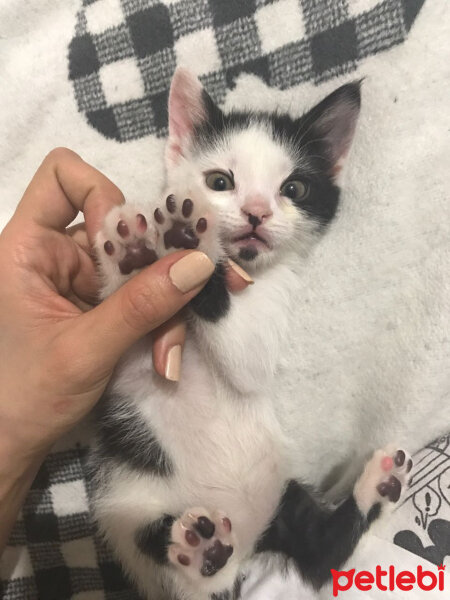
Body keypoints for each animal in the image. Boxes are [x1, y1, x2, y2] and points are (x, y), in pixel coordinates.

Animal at [90, 67, 412, 600]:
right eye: (220, 182)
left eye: (294, 189)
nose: (257, 212)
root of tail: (246, 547)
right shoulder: (127, 359)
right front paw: (136, 249)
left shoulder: (265, 323)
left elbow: (246, 362)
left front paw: (185, 242)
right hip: (131, 513)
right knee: (167, 554)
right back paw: (205, 550)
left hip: (284, 495)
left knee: (319, 554)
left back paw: (376, 486)